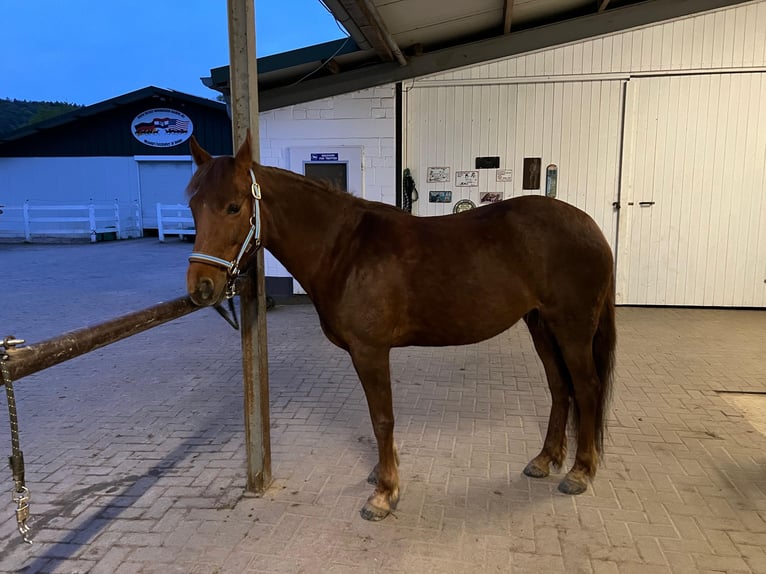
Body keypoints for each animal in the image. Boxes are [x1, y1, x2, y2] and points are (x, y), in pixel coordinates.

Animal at [184, 134, 616, 520]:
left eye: (233, 207)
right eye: (192, 205)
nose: (201, 287)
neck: (344, 250)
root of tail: (590, 226)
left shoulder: (370, 351)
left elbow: (382, 418)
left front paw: (384, 493)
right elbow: (380, 417)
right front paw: (383, 472)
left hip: (572, 327)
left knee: (587, 388)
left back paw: (580, 472)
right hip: (541, 325)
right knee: (560, 387)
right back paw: (545, 460)